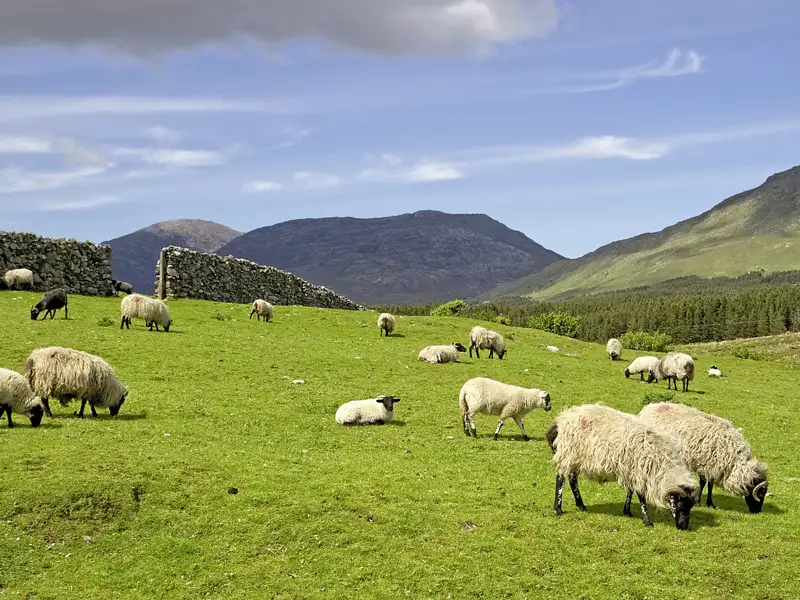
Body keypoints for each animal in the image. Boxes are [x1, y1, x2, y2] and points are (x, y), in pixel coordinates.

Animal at [546, 403, 698, 529]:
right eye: (681, 505)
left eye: (691, 506)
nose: (684, 526)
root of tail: (562, 419)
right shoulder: (637, 471)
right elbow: (641, 497)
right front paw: (647, 521)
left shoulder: (630, 470)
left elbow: (630, 491)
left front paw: (627, 511)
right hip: (568, 453)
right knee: (560, 479)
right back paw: (558, 508)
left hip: (576, 458)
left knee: (572, 479)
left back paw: (581, 505)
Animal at [634, 402, 768, 513]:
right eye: (760, 495)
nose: (757, 511)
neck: (734, 461)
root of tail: (649, 407)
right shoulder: (704, 463)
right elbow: (703, 483)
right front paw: (698, 502)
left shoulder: (713, 466)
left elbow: (710, 485)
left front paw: (710, 503)